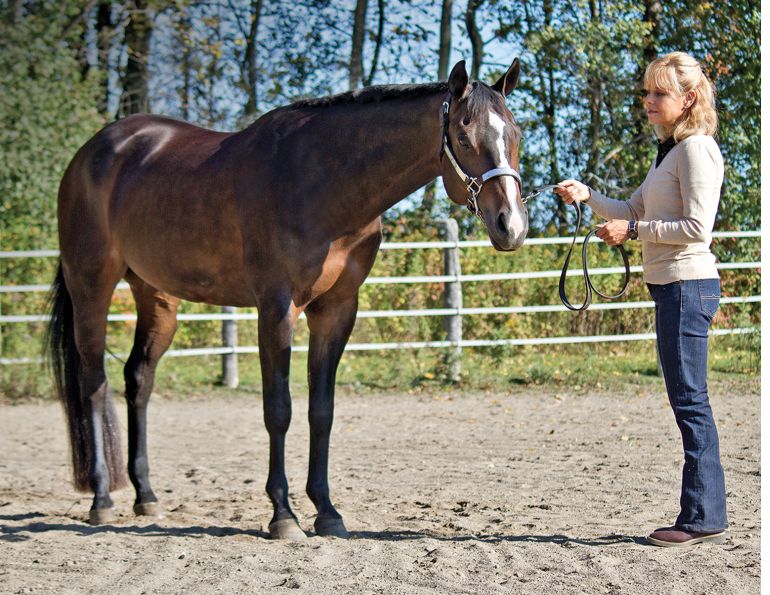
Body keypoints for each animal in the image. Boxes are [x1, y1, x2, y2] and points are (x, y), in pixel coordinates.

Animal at [45, 58, 528, 539]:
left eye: (516, 133)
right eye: (463, 137)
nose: (512, 225)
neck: (322, 183)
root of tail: (93, 152)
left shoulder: (337, 310)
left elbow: (321, 411)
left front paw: (326, 511)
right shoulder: (276, 309)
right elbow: (278, 410)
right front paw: (283, 515)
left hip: (156, 295)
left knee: (139, 380)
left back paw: (146, 496)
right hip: (91, 288)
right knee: (93, 384)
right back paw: (102, 499)